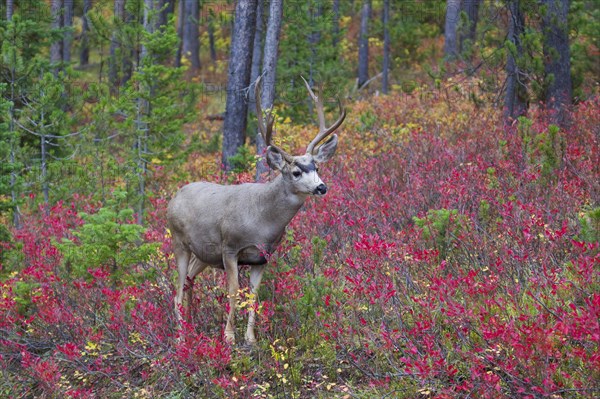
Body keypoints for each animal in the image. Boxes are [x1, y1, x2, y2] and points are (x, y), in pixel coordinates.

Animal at [169, 76, 346, 346]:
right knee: (177, 290)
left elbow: (253, 295)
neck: (262, 222)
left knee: (189, 281)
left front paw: (251, 339)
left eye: (316, 166)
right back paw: (180, 338)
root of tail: (174, 197)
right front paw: (229, 337)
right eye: (296, 172)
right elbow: (233, 292)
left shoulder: (262, 257)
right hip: (179, 242)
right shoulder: (230, 248)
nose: (321, 187)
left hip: (204, 253)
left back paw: (192, 326)